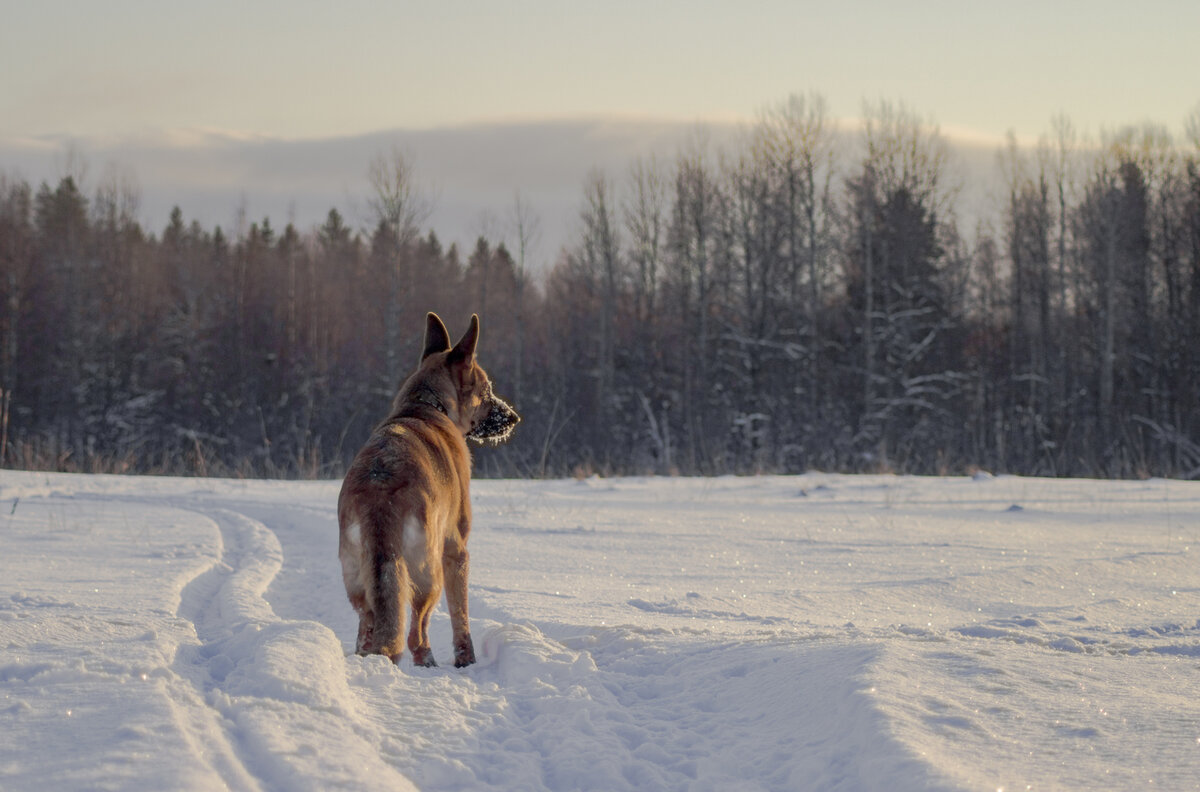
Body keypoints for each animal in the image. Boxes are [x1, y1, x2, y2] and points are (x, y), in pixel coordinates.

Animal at [343, 312, 520, 667]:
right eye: (486, 390)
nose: (514, 417)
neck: (427, 404)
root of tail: (381, 486)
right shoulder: (457, 552)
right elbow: (460, 617)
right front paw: (467, 660)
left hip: (359, 580)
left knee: (369, 627)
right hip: (428, 573)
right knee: (415, 632)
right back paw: (427, 663)